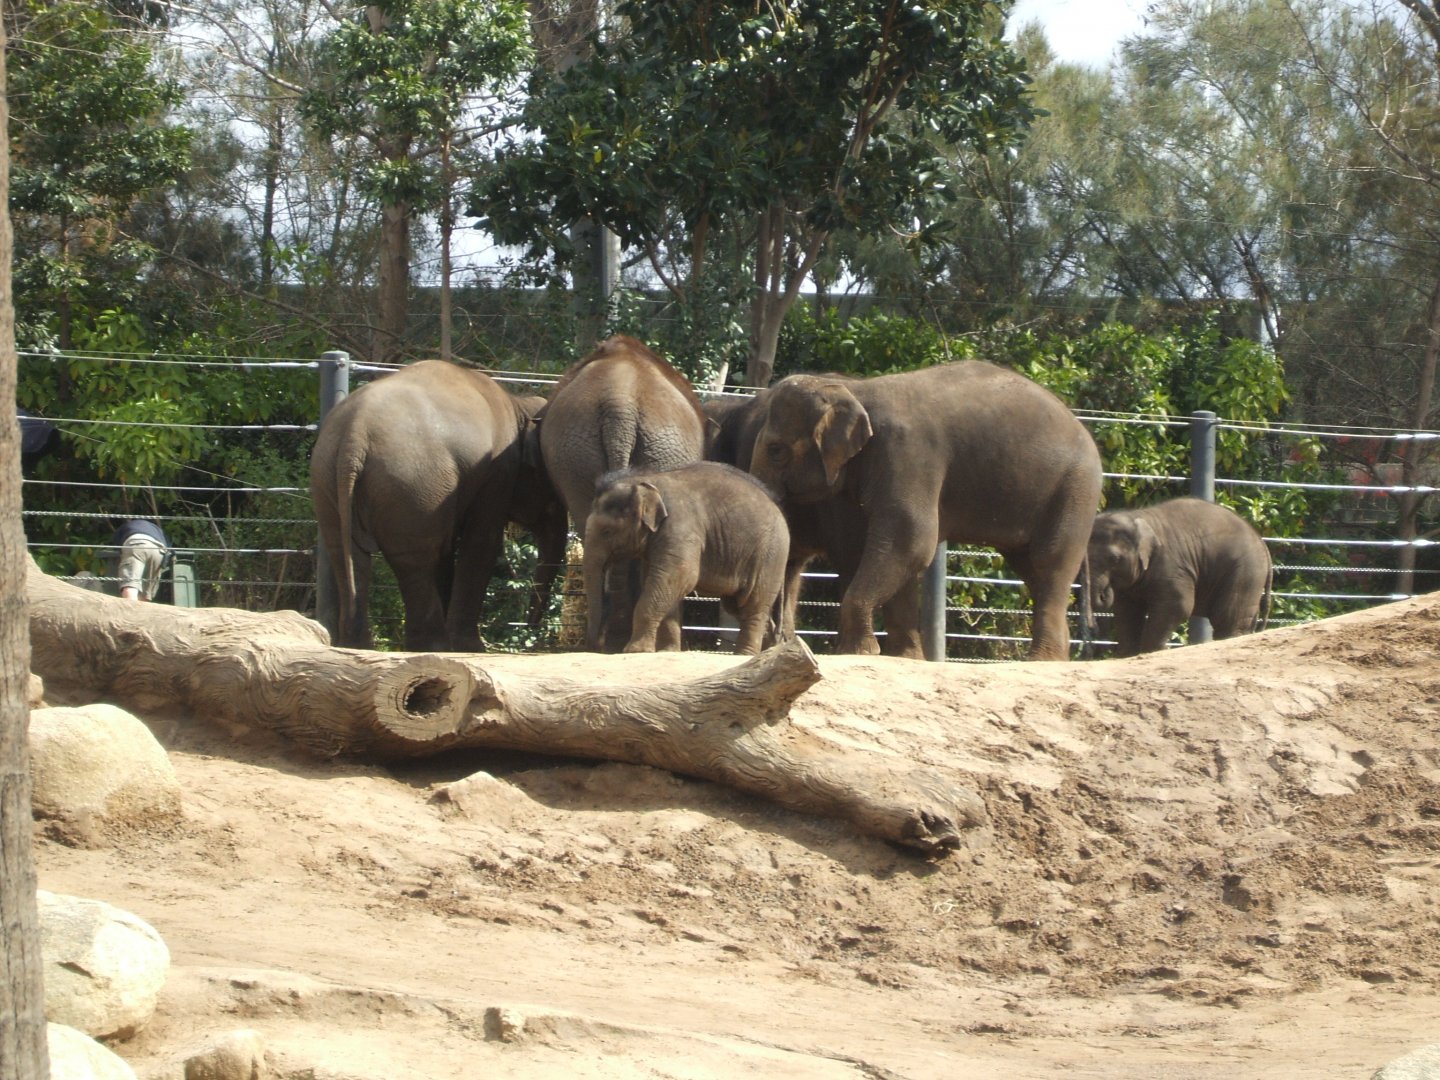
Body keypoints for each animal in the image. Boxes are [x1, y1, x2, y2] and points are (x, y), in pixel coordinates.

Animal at [310, 360, 568, 652]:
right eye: (553, 487)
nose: (530, 630)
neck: (518, 405)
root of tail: (355, 434)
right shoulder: (499, 471)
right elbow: (483, 542)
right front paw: (471, 648)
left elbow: (449, 549)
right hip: (412, 482)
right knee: (415, 559)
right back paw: (433, 645)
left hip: (328, 480)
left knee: (348, 555)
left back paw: (356, 646)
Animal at [583, 462, 790, 654]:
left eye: (606, 531)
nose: (600, 647)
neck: (648, 480)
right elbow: (664, 582)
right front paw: (667, 651)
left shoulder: (681, 527)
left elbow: (679, 577)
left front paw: (635, 651)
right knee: (737, 605)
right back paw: (773, 649)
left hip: (771, 555)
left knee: (753, 605)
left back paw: (745, 655)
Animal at [746, 362, 1103, 660]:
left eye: (776, 450)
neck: (857, 390)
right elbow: (892, 551)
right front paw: (904, 657)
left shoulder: (907, 454)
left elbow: (909, 541)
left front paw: (857, 652)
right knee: (1030, 567)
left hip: (1074, 488)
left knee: (1049, 563)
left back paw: (1042, 659)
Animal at [1086, 497, 1273, 656]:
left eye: (1114, 559)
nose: (1105, 592)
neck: (1138, 516)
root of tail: (1261, 542)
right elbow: (1127, 610)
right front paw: (1127, 655)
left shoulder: (1172, 565)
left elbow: (1178, 605)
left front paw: (1154, 651)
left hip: (1246, 571)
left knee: (1228, 617)